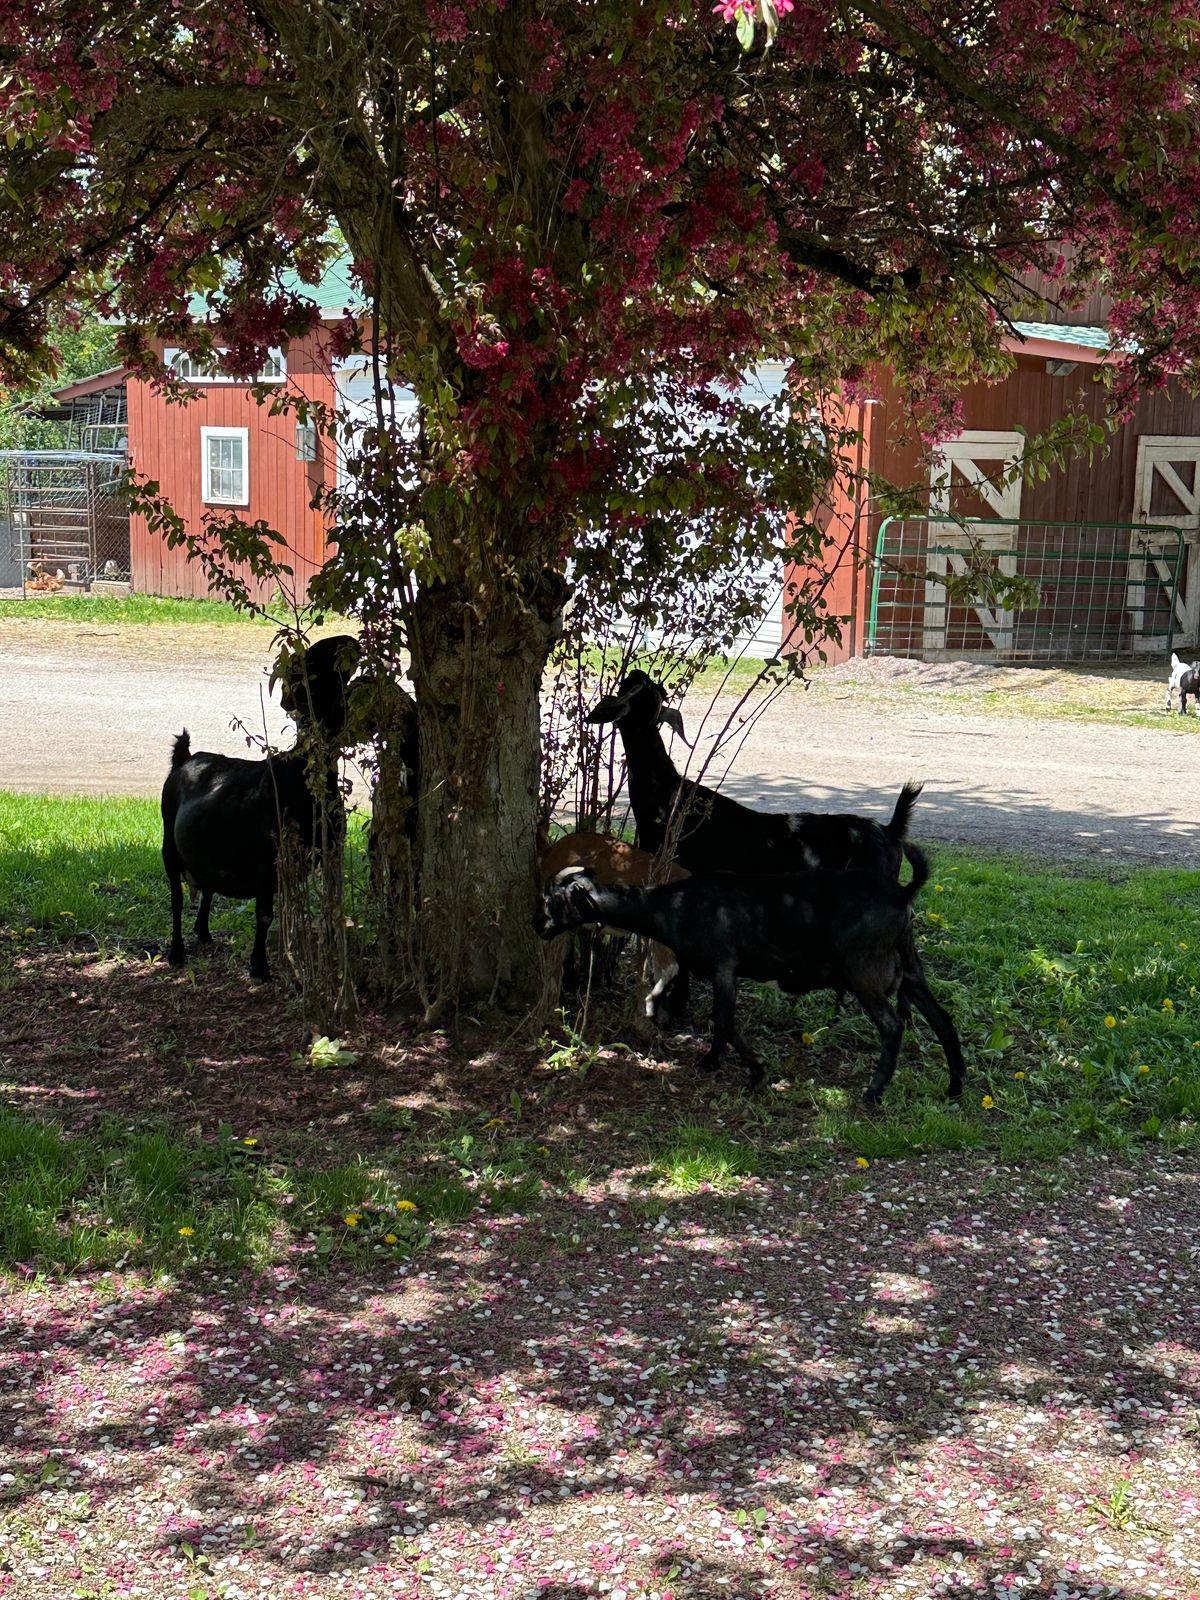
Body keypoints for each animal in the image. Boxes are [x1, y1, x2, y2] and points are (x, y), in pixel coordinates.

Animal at [161, 634, 360, 981]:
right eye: (311, 666)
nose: (350, 642)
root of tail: (184, 759)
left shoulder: (331, 850)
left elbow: (330, 904)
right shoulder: (268, 861)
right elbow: (265, 914)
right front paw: (260, 967)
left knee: (207, 885)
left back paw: (203, 933)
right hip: (168, 844)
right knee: (176, 897)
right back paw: (176, 952)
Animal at [536, 842, 964, 1104]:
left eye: (554, 900)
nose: (538, 927)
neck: (673, 905)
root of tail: (903, 893)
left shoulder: (724, 964)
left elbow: (723, 1019)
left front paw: (742, 1068)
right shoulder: (726, 970)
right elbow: (725, 1020)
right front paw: (727, 1063)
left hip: (863, 970)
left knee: (892, 1025)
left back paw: (873, 1093)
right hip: (910, 967)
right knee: (943, 1021)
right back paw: (955, 1087)